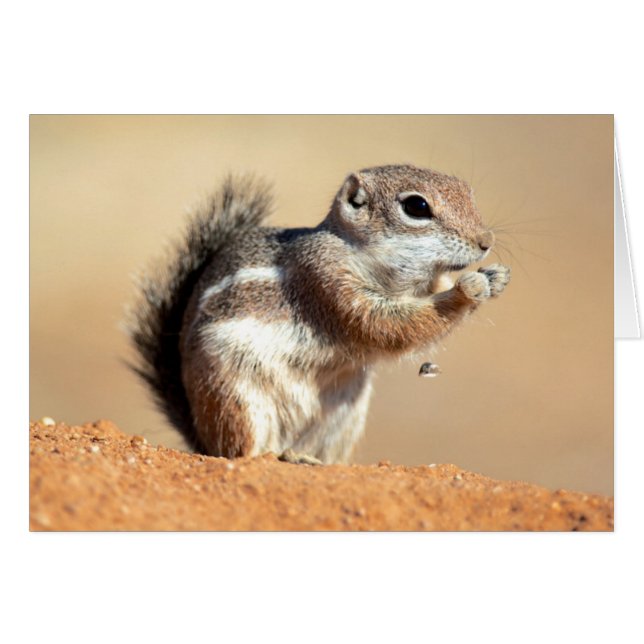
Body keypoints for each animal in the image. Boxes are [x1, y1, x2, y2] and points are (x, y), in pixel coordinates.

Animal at [127, 164, 510, 464]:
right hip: (234, 397)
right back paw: (277, 455)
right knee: (241, 451)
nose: (486, 241)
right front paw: (467, 290)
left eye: (467, 191)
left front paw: (495, 278)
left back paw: (309, 459)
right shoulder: (325, 280)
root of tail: (200, 435)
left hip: (343, 417)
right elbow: (386, 326)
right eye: (416, 206)